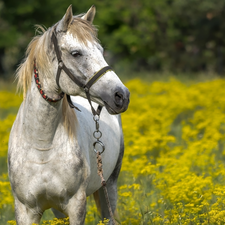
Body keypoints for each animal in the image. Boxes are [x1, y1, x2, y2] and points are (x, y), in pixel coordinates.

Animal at [7, 5, 129, 225]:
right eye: (76, 53)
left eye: (101, 51)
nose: (122, 95)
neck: (42, 146)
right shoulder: (25, 210)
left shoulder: (76, 205)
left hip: (109, 186)